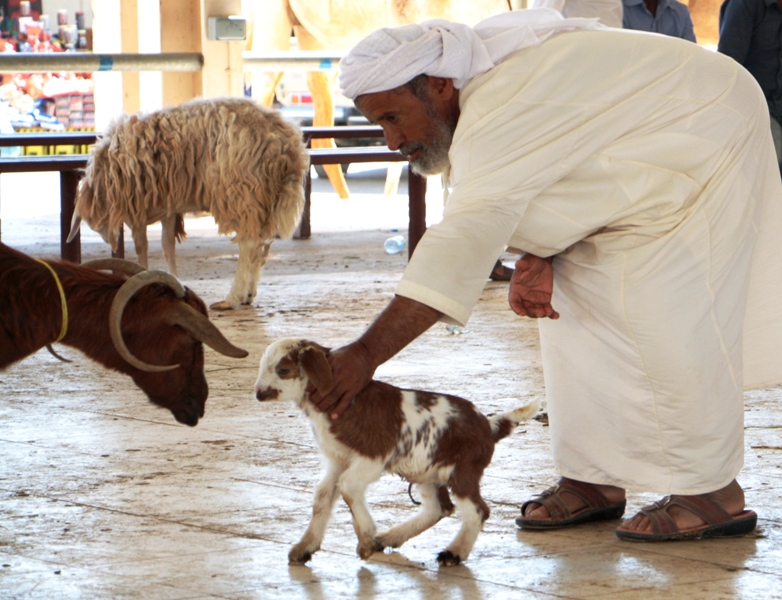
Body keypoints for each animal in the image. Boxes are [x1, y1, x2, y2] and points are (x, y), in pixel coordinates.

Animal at [67, 97, 310, 310]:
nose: (110, 240)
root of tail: (286, 142)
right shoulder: (167, 204)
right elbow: (167, 245)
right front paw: (174, 281)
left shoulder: (138, 205)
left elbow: (142, 246)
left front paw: (142, 275)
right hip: (265, 196)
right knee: (262, 244)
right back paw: (248, 294)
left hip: (241, 191)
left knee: (249, 243)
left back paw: (232, 298)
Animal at [254, 338, 544, 568]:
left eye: (283, 370)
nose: (258, 394)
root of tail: (489, 425)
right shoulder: (339, 459)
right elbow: (324, 495)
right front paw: (306, 547)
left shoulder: (374, 455)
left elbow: (347, 486)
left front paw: (366, 540)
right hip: (428, 472)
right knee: (438, 508)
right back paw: (390, 537)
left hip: (462, 470)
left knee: (477, 511)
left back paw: (453, 552)